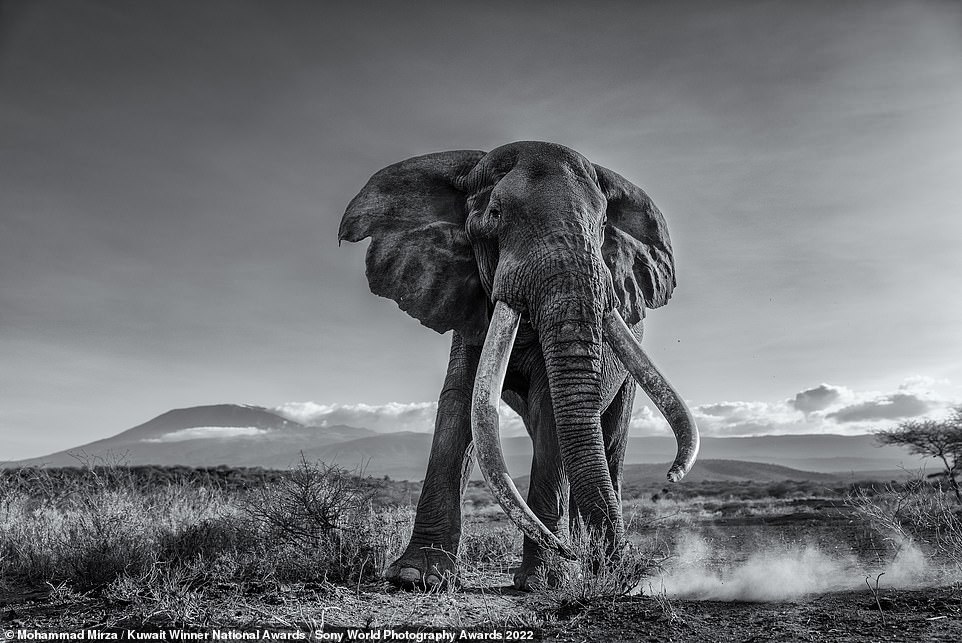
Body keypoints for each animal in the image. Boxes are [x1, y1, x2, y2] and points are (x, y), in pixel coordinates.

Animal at [338, 141, 698, 590]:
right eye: (495, 214)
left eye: (602, 224)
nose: (671, 476)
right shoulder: (465, 299)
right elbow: (460, 403)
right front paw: (413, 577)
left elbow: (550, 410)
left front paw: (546, 580)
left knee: (610, 442)